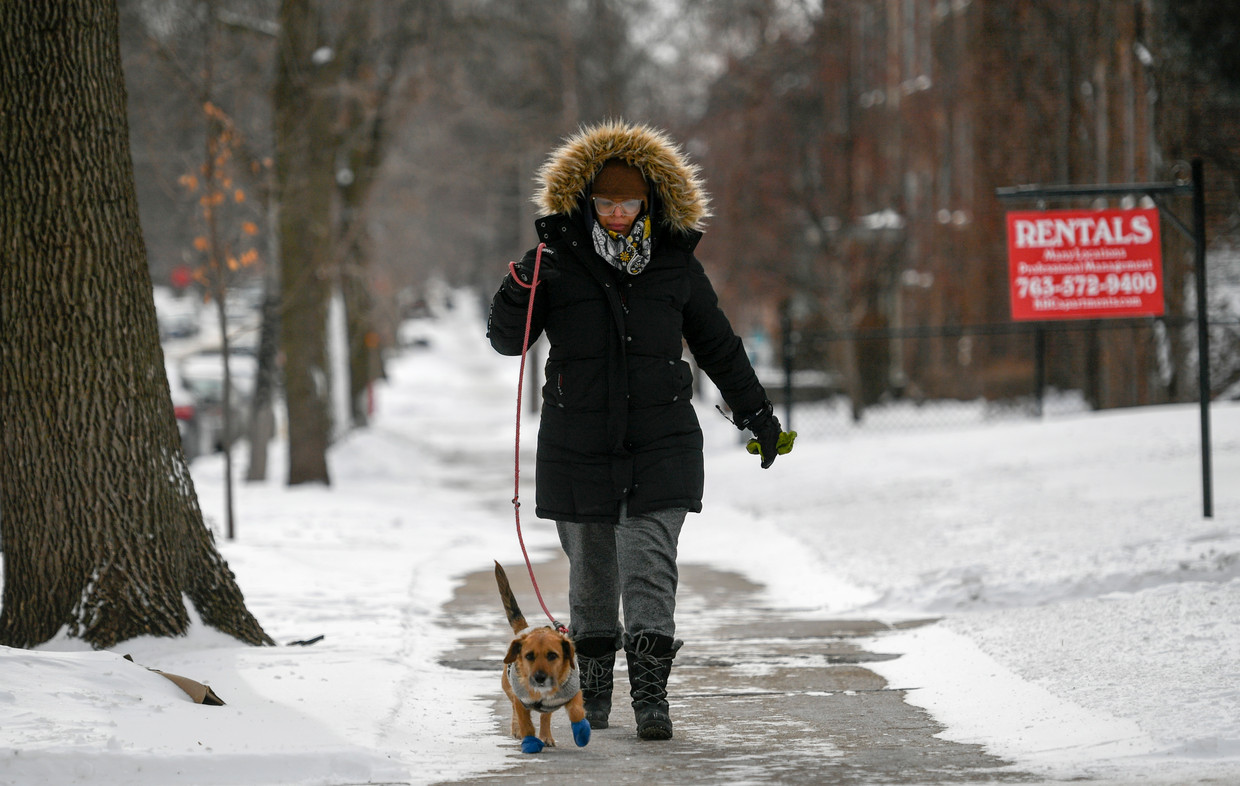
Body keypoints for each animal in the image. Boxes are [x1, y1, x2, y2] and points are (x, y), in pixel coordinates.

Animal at [493, 560, 590, 748]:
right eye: (529, 656)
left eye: (552, 656)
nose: (539, 678)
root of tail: (523, 629)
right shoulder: (521, 700)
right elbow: (525, 722)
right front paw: (529, 740)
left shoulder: (573, 693)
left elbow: (576, 712)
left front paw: (581, 732)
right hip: (508, 688)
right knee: (514, 707)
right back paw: (517, 729)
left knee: (545, 716)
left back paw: (546, 736)